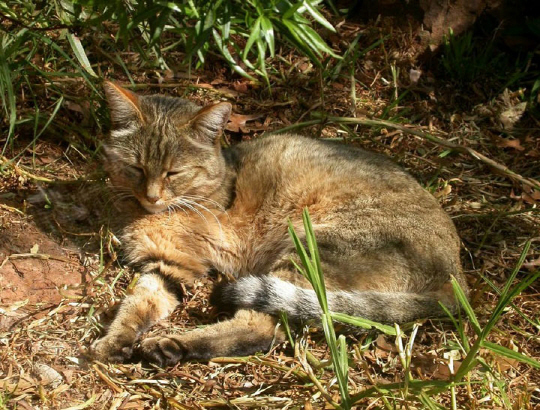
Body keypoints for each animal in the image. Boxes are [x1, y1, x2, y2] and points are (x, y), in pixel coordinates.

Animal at [90, 81, 466, 366]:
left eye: (173, 172)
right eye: (137, 167)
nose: (152, 196)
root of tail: (456, 278)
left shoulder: (197, 259)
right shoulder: (168, 265)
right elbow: (136, 304)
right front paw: (113, 340)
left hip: (311, 248)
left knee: (263, 325)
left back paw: (172, 345)